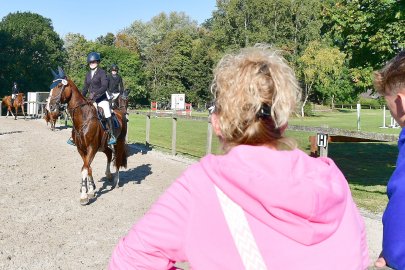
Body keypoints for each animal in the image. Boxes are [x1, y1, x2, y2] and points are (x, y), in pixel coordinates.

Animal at [47, 70, 126, 206]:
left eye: (59, 86)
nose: (50, 106)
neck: (83, 118)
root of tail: (120, 113)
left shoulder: (91, 148)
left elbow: (85, 168)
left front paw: (84, 195)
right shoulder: (81, 149)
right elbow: (88, 167)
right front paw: (91, 190)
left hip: (119, 143)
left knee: (118, 160)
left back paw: (116, 181)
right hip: (103, 146)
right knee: (109, 154)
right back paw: (108, 175)